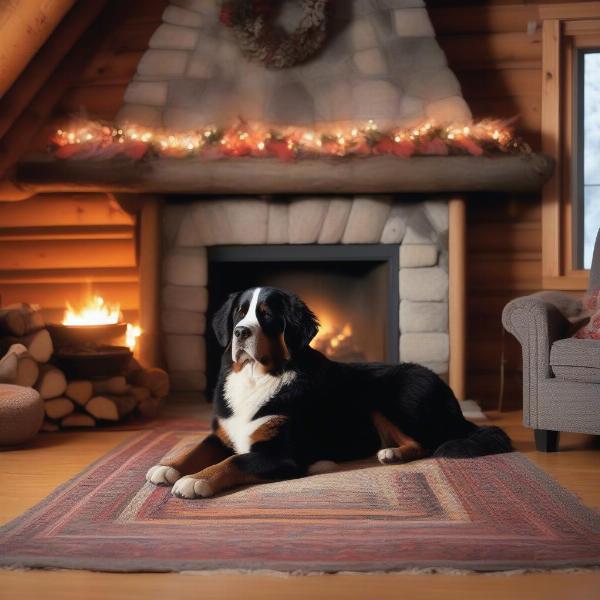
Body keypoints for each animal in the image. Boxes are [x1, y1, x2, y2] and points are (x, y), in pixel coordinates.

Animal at [146, 284, 510, 496]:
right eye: (239, 312)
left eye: (267, 316)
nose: (240, 332)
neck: (257, 376)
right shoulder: (222, 432)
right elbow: (196, 448)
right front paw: (169, 466)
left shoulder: (280, 454)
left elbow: (234, 461)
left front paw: (196, 480)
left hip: (390, 394)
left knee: (426, 442)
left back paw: (391, 453)